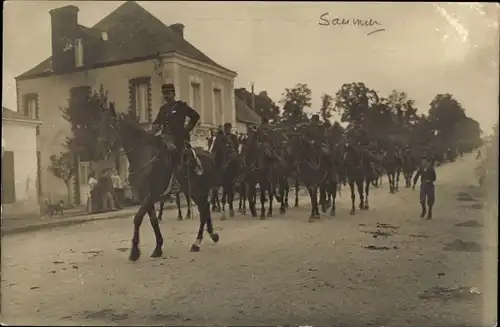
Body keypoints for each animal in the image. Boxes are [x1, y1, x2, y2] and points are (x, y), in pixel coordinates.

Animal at [102, 111, 220, 262]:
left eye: (111, 126)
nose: (103, 146)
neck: (142, 156)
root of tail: (209, 156)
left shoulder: (151, 195)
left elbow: (137, 218)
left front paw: (134, 251)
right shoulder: (145, 197)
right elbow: (153, 221)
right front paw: (158, 247)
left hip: (198, 191)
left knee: (204, 211)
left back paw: (197, 243)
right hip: (196, 192)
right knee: (205, 210)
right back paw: (212, 235)